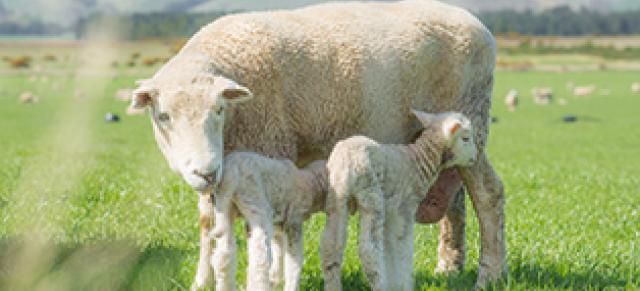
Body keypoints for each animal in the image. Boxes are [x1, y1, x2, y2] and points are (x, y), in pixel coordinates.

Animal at [210, 153, 328, 291]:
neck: (308, 182)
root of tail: (230, 170)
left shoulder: (278, 227)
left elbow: (279, 253)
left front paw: (274, 280)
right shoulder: (294, 222)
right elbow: (294, 261)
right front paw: (290, 285)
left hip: (226, 208)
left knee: (223, 255)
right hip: (256, 203)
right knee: (260, 259)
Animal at [320, 110, 476, 291]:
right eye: (466, 138)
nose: (474, 158)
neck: (419, 161)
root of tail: (348, 162)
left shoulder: (391, 213)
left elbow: (389, 248)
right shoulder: (405, 210)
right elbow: (403, 249)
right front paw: (404, 284)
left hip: (336, 196)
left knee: (330, 245)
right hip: (371, 195)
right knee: (369, 250)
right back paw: (380, 285)